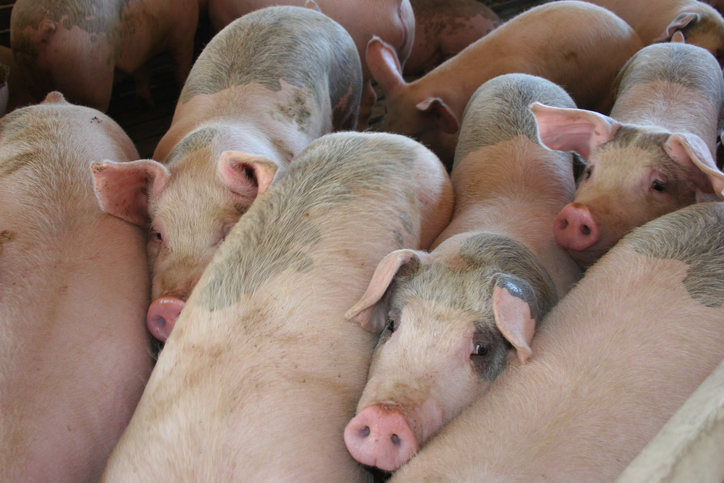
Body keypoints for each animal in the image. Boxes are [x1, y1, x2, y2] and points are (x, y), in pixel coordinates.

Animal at [9, 0, 203, 112]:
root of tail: (43, 25)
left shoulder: (140, 48)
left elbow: (141, 72)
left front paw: (145, 103)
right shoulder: (184, 34)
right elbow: (181, 69)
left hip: (31, 73)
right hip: (90, 74)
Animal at [91, 6, 363, 343]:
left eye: (230, 231)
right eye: (157, 234)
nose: (168, 304)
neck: (206, 156)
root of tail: (305, 8)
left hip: (351, 91)